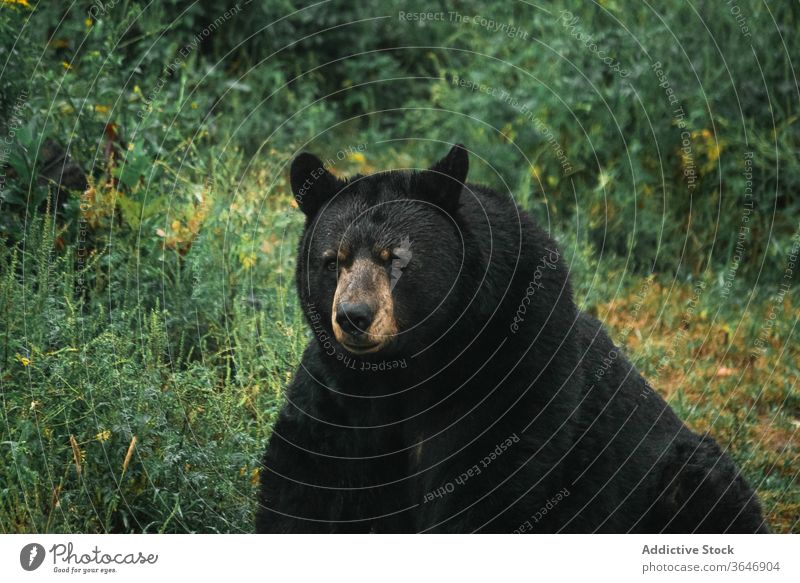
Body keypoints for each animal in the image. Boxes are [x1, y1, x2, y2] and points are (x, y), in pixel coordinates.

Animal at [258, 145, 768, 532]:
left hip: (678, 475)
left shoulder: (515, 368)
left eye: (396, 258)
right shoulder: (340, 390)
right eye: (333, 260)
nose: (353, 317)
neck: (415, 366)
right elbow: (309, 475)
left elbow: (491, 484)